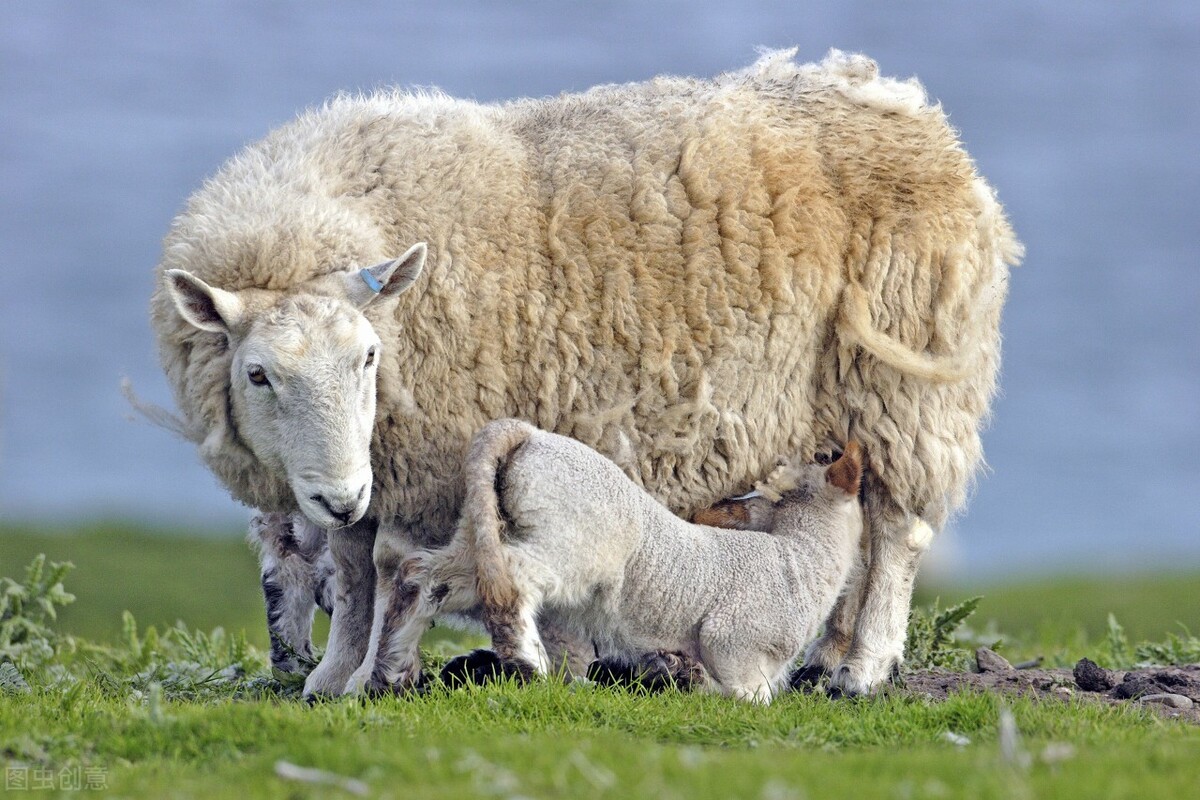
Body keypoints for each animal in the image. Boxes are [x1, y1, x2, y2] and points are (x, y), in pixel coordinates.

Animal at [350, 422, 868, 705]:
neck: (799, 557)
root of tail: (526, 434)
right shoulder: (733, 641)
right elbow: (746, 697)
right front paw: (680, 674)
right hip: (569, 542)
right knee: (516, 580)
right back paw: (529, 663)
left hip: (481, 532)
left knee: (421, 576)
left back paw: (391, 671)